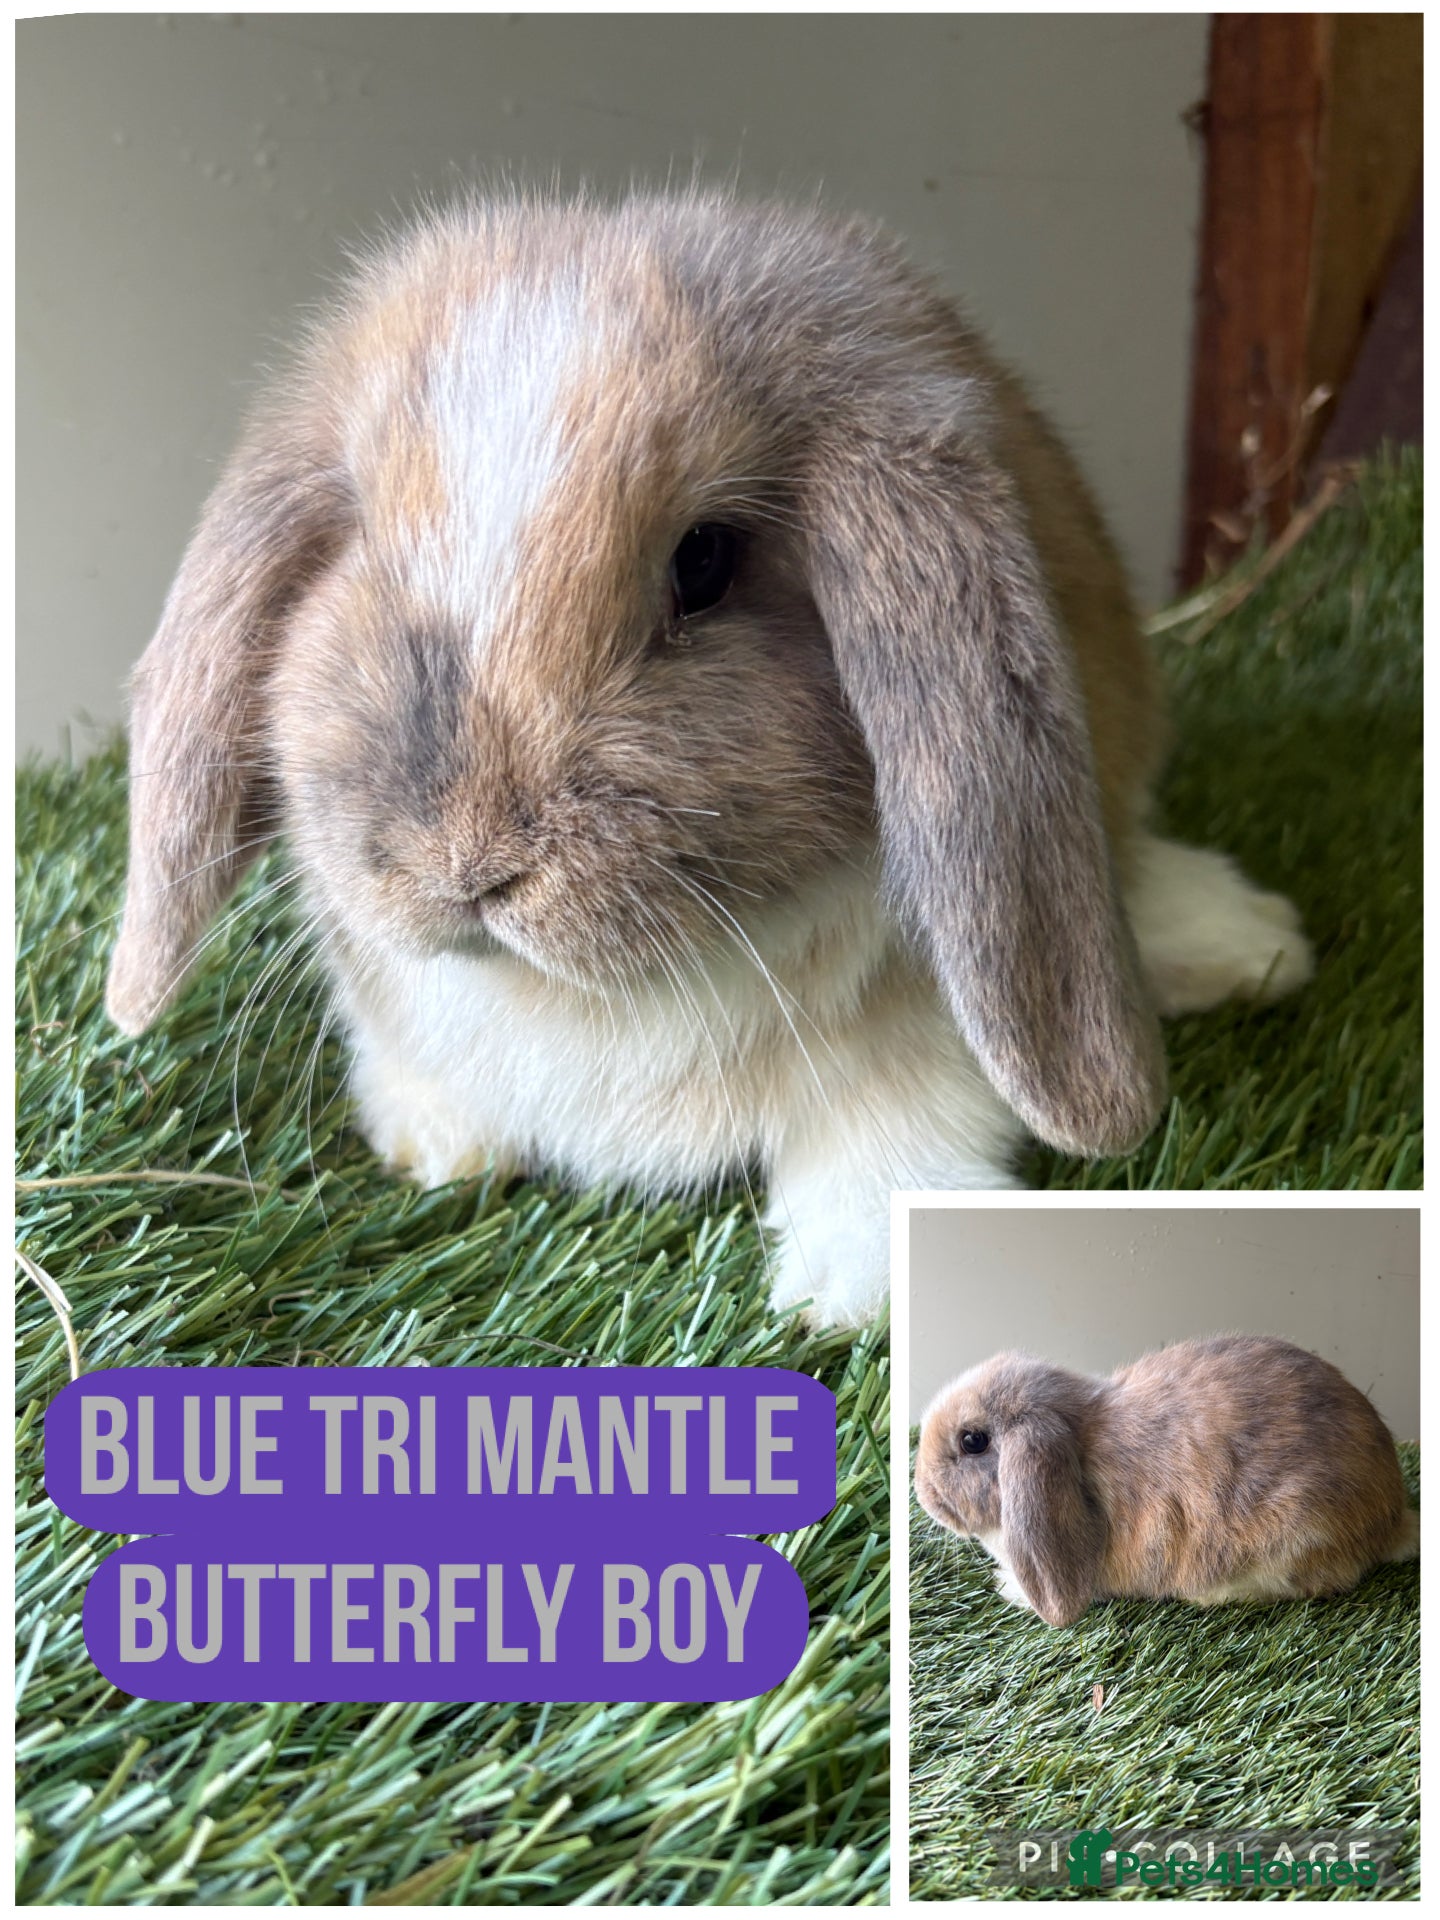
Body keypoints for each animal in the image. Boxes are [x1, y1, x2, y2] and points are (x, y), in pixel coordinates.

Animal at [104, 190, 1312, 1326]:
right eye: (358, 542)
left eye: (705, 563)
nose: (469, 864)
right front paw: (437, 1145)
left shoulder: (927, 1021)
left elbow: (902, 1118)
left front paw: (858, 1288)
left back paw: (1251, 942)